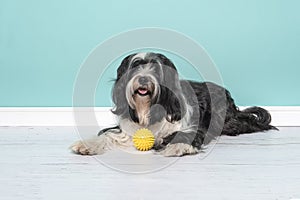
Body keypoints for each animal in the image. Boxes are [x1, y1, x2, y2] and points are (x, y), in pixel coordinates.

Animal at [71, 52, 276, 157]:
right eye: (135, 67)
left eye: (156, 68)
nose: (143, 79)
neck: (148, 110)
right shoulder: (125, 129)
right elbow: (108, 135)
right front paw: (87, 144)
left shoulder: (190, 126)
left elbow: (185, 135)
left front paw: (176, 146)